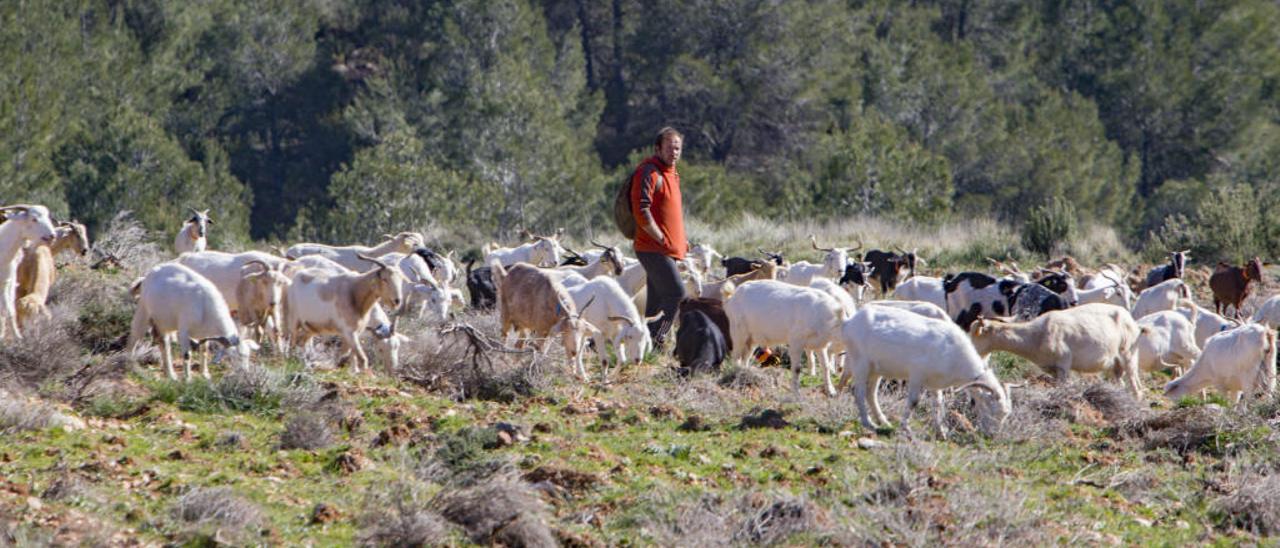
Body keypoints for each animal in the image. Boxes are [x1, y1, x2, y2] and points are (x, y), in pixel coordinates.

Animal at [0, 204, 59, 338]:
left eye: (47, 216)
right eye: (34, 219)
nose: (52, 235)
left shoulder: (5, 283)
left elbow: (9, 311)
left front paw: (18, 338)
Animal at [129, 263, 259, 378]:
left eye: (247, 356)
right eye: (237, 356)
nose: (245, 374)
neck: (205, 306)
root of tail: (146, 276)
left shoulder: (205, 335)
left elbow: (204, 351)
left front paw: (205, 374)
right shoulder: (183, 331)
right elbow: (187, 355)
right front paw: (188, 379)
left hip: (163, 322)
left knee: (164, 343)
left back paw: (170, 374)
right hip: (143, 311)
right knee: (135, 336)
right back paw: (129, 362)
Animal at [834, 303, 1013, 437]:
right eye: (994, 411)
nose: (992, 435)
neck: (953, 351)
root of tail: (848, 323)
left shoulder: (935, 384)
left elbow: (938, 403)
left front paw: (941, 432)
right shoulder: (916, 375)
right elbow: (914, 401)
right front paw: (906, 428)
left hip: (876, 369)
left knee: (871, 394)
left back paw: (883, 422)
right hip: (860, 363)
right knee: (859, 392)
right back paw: (869, 423)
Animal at [967, 302, 1141, 396]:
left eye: (976, 334)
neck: (1035, 336)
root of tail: (1130, 319)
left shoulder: (1063, 365)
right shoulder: (1051, 369)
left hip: (1128, 355)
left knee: (1137, 388)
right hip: (1116, 366)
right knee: (1122, 384)